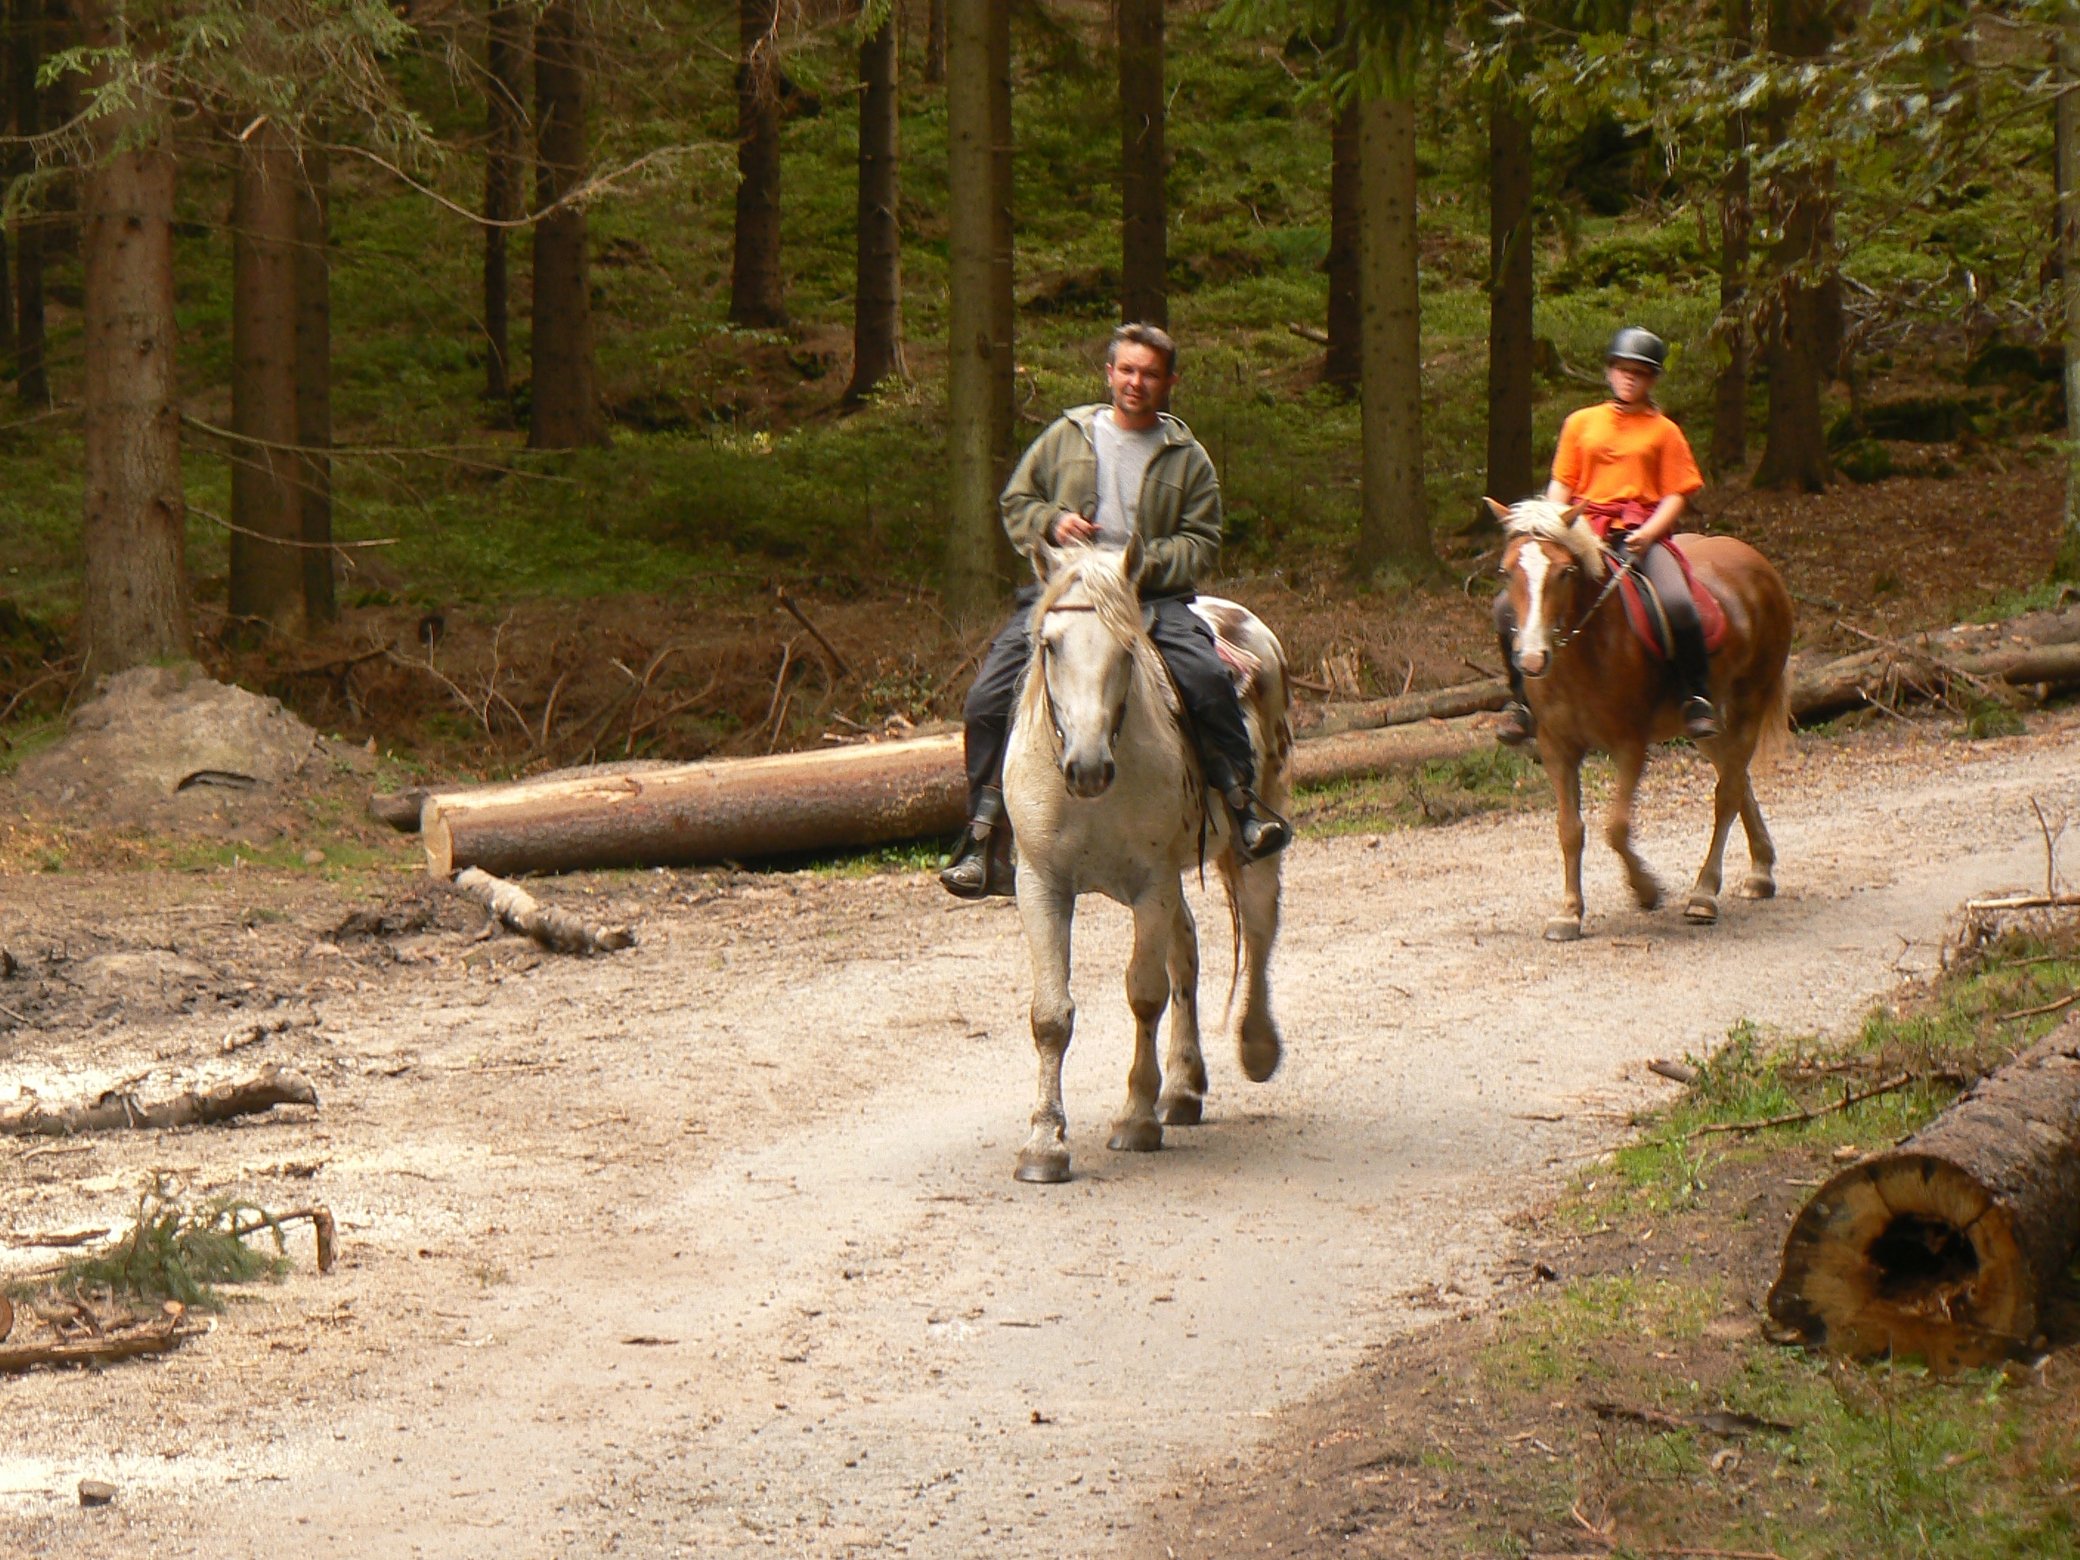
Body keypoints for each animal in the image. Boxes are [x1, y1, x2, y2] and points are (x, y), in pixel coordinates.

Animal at [1000, 536, 1291, 1184]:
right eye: (1049, 645)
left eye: (1127, 648)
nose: (1086, 767)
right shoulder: (1040, 885)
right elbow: (1050, 1014)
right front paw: (1043, 1144)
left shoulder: (1150, 885)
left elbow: (1144, 993)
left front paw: (1135, 1117)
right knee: (1188, 951)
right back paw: (1182, 1089)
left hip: (1252, 837)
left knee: (1258, 928)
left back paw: (1256, 1047)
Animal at [1489, 497, 1794, 942]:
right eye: (1507, 570)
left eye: (1564, 572)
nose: (1531, 659)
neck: (1586, 649)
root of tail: (1758, 563)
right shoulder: (1556, 747)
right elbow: (1569, 829)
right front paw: (1569, 913)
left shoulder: (1629, 743)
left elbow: (1615, 826)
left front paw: (1646, 890)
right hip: (1705, 725)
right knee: (1736, 778)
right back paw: (1760, 872)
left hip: (1749, 701)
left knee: (1727, 793)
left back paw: (1704, 895)